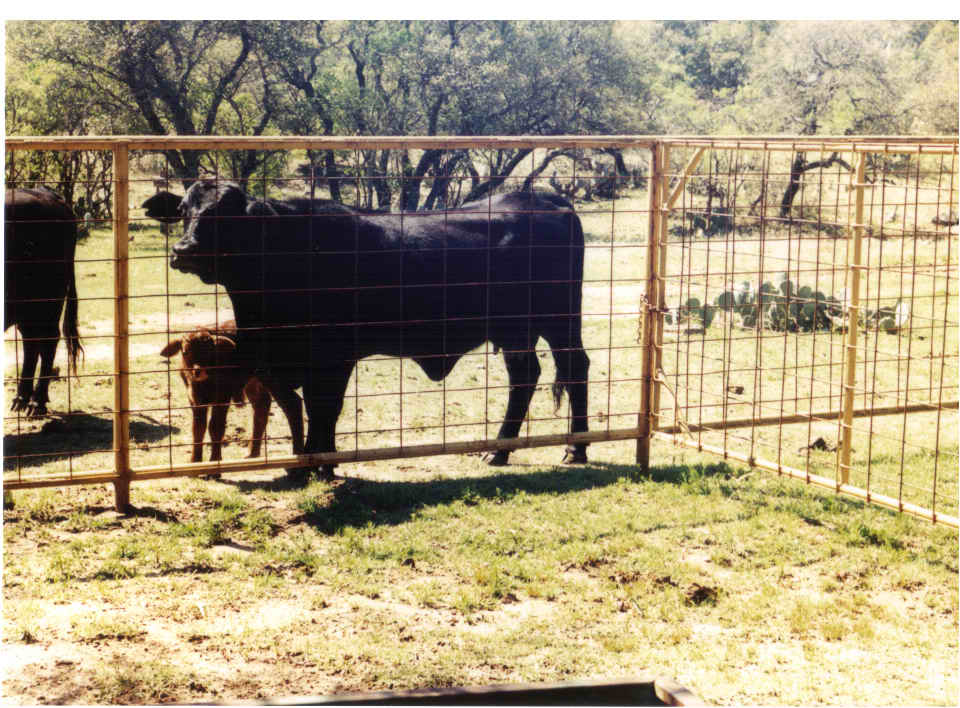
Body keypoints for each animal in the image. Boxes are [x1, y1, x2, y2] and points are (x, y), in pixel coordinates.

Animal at [159, 320, 268, 464]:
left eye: (210, 352)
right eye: (185, 352)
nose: (197, 371)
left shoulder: (223, 397)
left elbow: (216, 427)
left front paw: (215, 461)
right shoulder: (194, 399)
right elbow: (198, 428)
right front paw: (195, 460)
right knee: (261, 406)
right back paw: (252, 453)